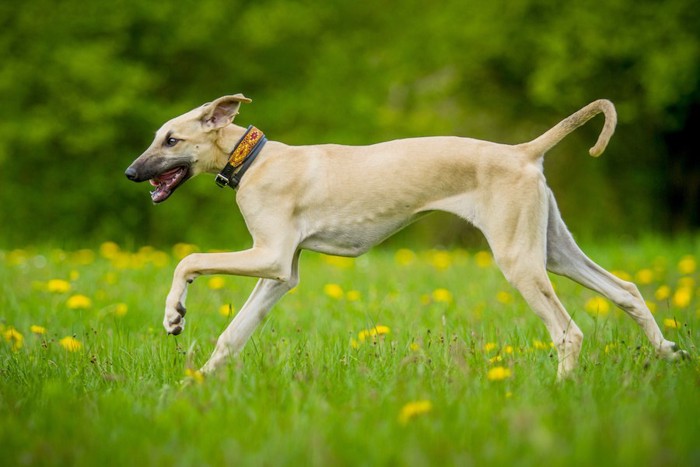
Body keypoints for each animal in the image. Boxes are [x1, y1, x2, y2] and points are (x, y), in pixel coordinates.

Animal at [123, 95, 688, 380]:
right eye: (157, 137)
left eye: (171, 139)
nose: (130, 173)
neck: (254, 159)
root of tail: (523, 152)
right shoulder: (279, 275)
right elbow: (233, 335)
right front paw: (199, 386)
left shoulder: (270, 257)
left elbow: (188, 260)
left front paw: (174, 313)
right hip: (553, 252)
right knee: (626, 291)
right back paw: (668, 354)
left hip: (520, 261)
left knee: (568, 332)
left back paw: (561, 391)